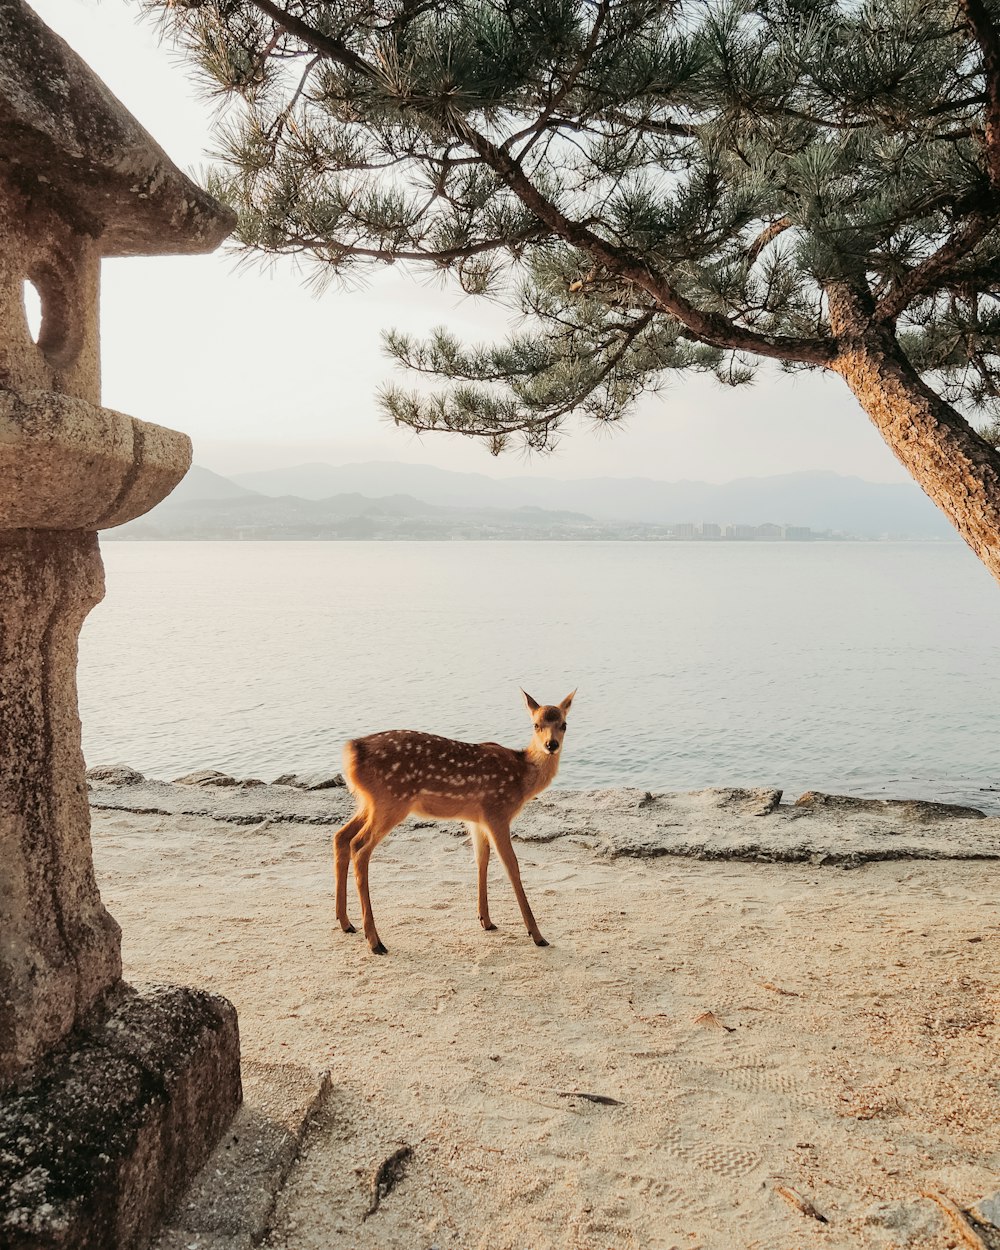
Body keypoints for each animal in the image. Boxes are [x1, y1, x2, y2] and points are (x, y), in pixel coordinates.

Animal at [332, 695, 575, 955]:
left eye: (564, 724)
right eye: (536, 725)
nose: (551, 745)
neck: (522, 778)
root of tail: (351, 752)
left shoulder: (477, 820)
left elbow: (481, 860)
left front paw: (486, 920)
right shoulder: (497, 811)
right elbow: (512, 866)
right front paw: (537, 935)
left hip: (370, 803)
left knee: (341, 836)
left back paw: (345, 922)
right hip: (391, 801)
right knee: (360, 846)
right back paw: (375, 941)